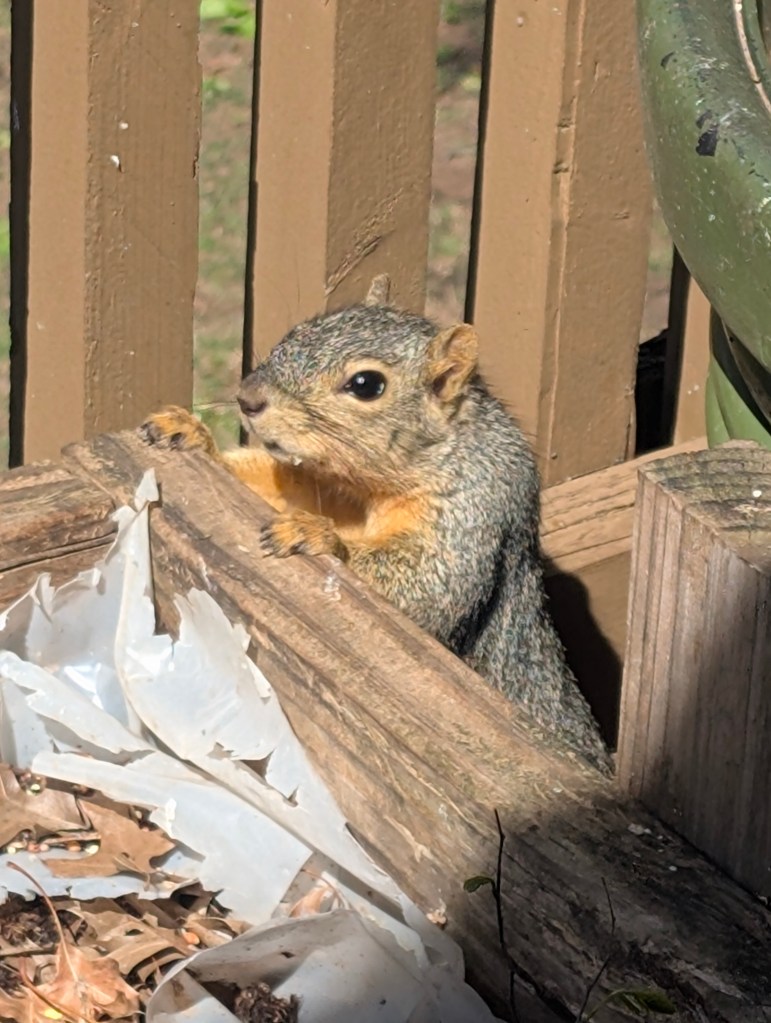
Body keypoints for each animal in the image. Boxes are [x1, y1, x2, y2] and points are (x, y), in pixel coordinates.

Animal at [141, 277, 610, 772]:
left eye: (366, 385)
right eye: (299, 329)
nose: (248, 399)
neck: (377, 489)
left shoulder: (474, 512)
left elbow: (427, 595)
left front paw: (318, 537)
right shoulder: (327, 490)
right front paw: (191, 434)